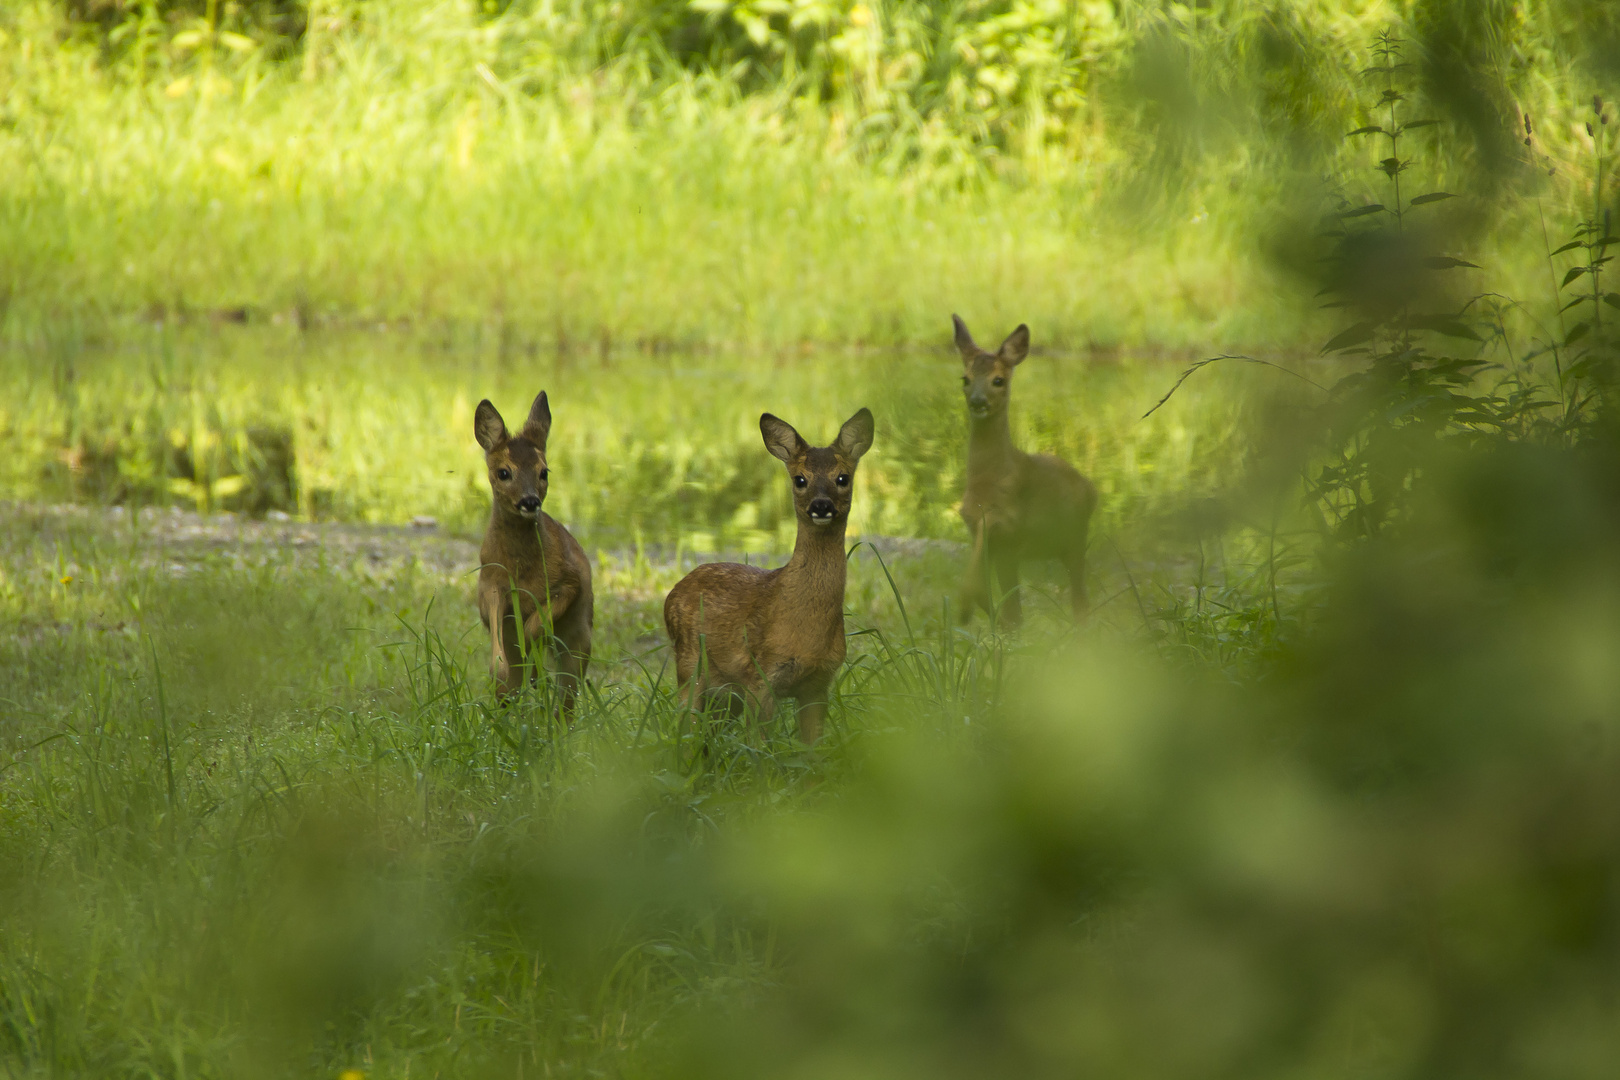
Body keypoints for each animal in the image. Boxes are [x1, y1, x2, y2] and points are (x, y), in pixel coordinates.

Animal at [473, 390, 596, 718]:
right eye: (503, 472)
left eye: (544, 471)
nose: (529, 502)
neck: (521, 570)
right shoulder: (489, 582)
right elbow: (499, 641)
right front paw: (501, 671)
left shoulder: (570, 581)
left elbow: (534, 625)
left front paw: (533, 665)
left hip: (581, 641)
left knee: (567, 699)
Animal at [664, 404, 881, 744]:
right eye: (800, 479)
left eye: (842, 477)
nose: (821, 505)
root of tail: (671, 594)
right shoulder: (761, 675)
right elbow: (760, 747)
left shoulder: (819, 683)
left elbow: (812, 748)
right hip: (689, 667)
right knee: (687, 730)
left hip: (724, 694)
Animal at [946, 312, 1101, 628]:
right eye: (965, 378)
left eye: (998, 379)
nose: (978, 401)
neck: (986, 482)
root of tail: (1089, 486)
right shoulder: (981, 531)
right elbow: (998, 601)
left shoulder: (1008, 529)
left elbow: (1007, 607)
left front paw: (970, 611)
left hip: (1076, 536)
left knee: (1081, 600)